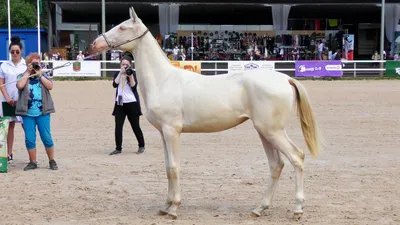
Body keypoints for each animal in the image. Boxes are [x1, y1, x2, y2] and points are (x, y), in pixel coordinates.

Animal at [92, 7, 324, 221]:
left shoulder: (172, 131)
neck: (163, 80)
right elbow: (167, 168)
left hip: (273, 131)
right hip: (264, 132)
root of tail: (286, 78)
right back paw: (259, 208)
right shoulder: (163, 133)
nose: (95, 44)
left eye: (122, 27)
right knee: (276, 165)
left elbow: (174, 168)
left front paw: (174, 208)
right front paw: (165, 206)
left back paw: (297, 210)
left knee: (297, 157)